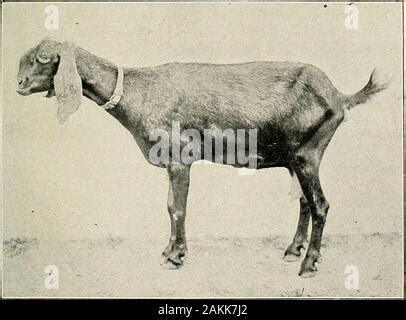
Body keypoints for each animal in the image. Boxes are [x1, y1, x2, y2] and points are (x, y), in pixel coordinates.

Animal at [15, 38, 386, 276]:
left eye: (43, 58)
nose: (19, 84)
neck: (141, 91)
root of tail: (339, 96)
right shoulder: (171, 163)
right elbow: (169, 206)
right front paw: (167, 251)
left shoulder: (180, 158)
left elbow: (177, 207)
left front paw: (176, 256)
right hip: (294, 158)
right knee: (305, 202)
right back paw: (292, 251)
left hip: (309, 153)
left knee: (321, 204)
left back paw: (308, 264)